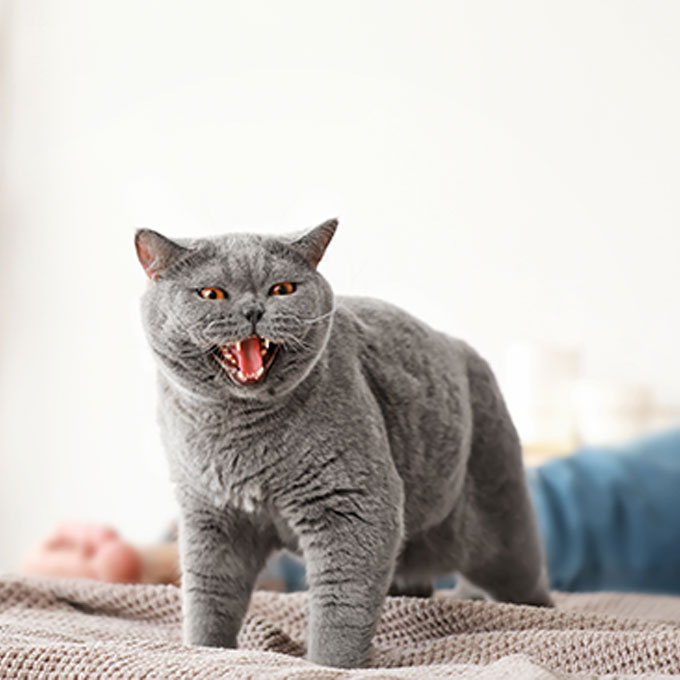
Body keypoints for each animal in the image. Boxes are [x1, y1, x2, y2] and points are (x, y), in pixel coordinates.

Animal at [134, 219, 552, 668]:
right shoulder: (211, 517)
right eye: (211, 294)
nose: (253, 311)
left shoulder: (355, 506)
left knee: (523, 576)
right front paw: (206, 653)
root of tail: (461, 347)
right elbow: (208, 598)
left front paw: (330, 666)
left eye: (282, 289)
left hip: (501, 522)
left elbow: (341, 608)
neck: (238, 436)